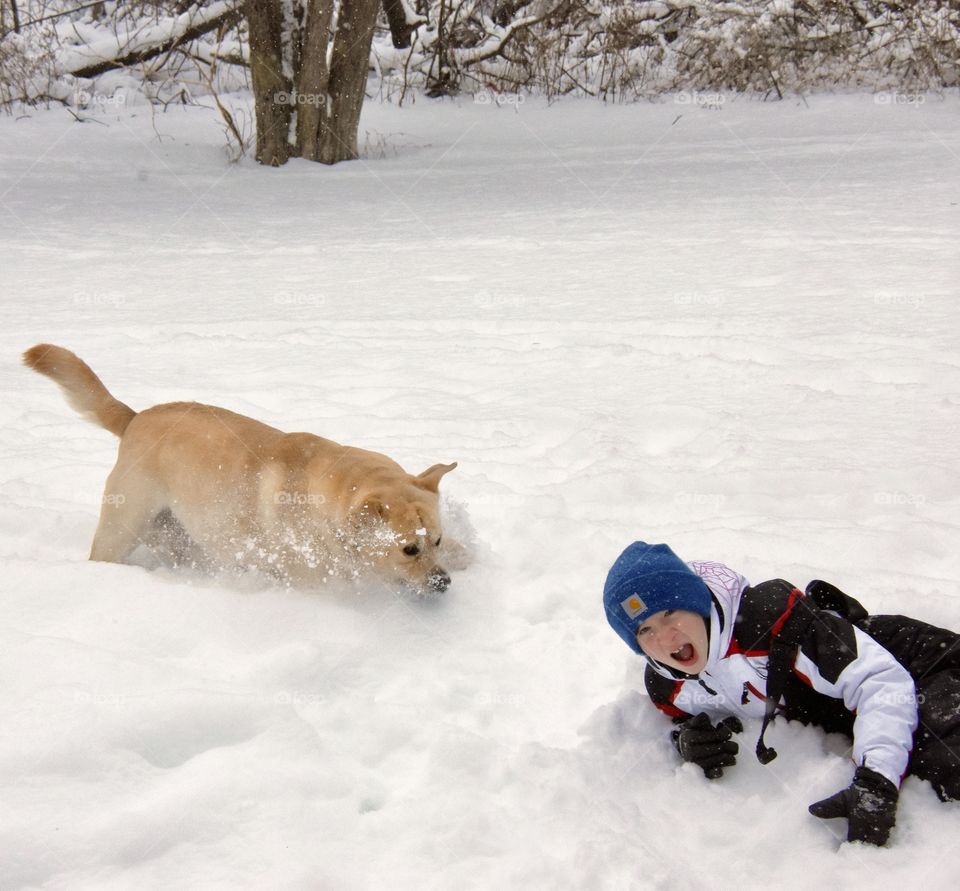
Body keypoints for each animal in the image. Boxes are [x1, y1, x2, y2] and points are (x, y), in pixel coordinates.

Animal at [22, 344, 458, 596]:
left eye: (437, 541)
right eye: (409, 549)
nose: (443, 582)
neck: (326, 496)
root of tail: (134, 418)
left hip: (178, 533)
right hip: (121, 529)